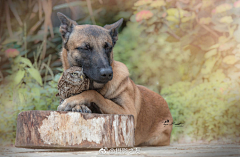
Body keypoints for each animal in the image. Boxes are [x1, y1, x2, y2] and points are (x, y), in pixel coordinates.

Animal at [56, 12, 172, 146]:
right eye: (85, 48)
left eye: (108, 47)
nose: (107, 73)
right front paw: (79, 106)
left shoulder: (127, 112)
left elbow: (94, 94)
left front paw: (73, 101)